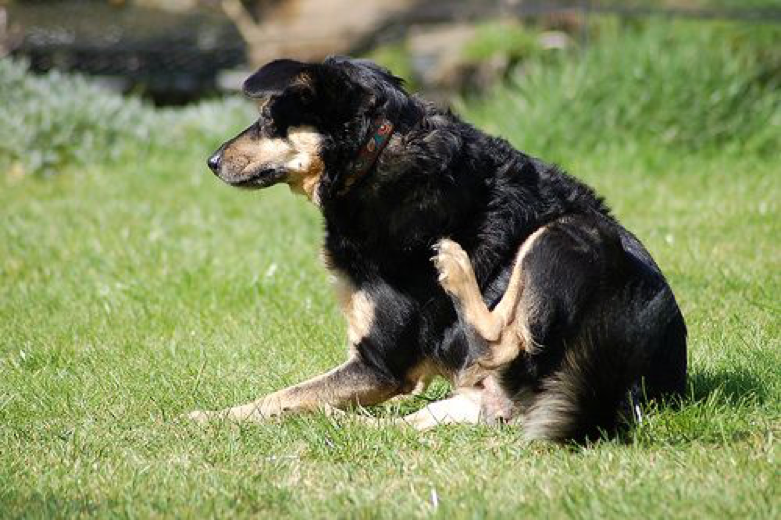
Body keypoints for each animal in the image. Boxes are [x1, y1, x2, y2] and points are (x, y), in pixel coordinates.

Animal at [190, 58, 688, 442]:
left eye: (268, 119)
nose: (210, 162)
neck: (375, 151)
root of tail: (630, 392)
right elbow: (288, 398)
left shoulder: (381, 364)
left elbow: (278, 396)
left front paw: (209, 418)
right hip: (464, 404)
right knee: (399, 426)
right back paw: (337, 419)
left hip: (566, 232)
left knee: (501, 342)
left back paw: (455, 268)